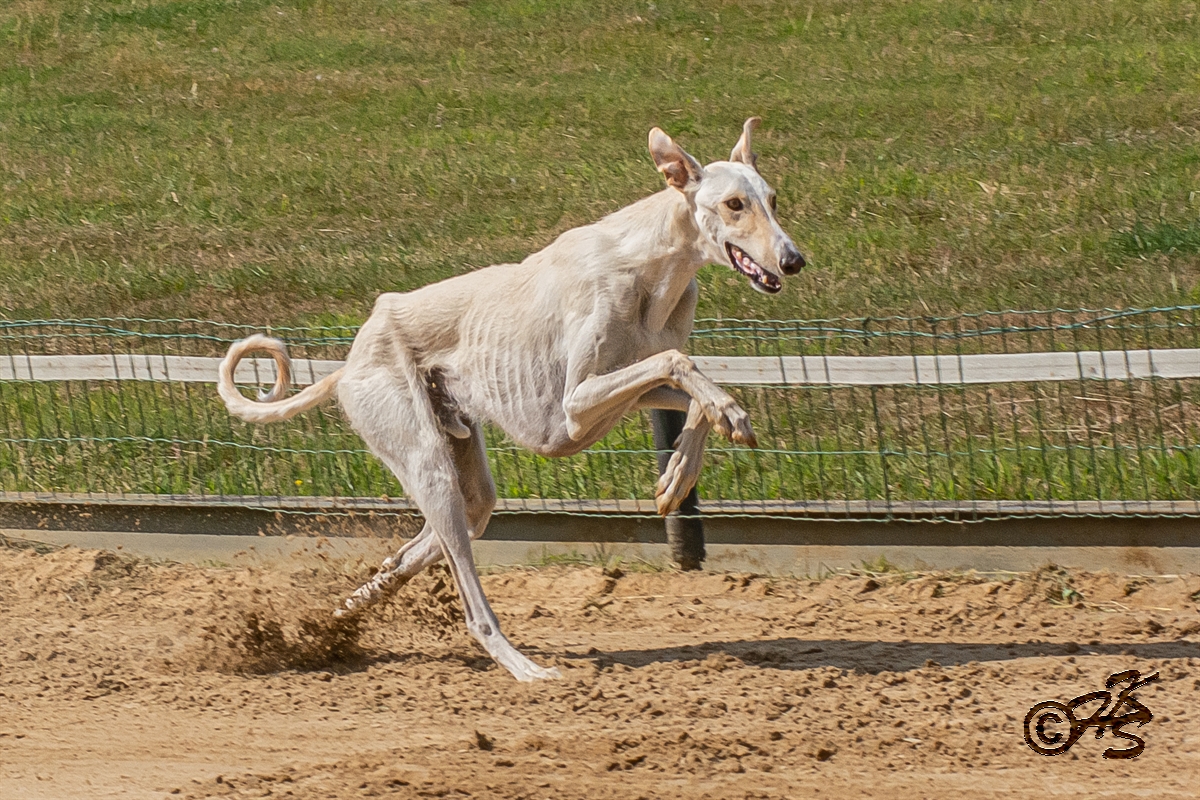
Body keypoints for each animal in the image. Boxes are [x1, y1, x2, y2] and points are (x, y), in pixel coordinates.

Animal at [217, 118, 805, 681]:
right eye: (734, 204)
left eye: (773, 199)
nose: (793, 259)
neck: (651, 262)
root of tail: (349, 364)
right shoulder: (574, 408)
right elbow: (680, 363)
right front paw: (722, 422)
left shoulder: (610, 401)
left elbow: (691, 390)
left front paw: (680, 472)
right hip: (426, 462)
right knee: (469, 595)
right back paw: (522, 667)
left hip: (461, 469)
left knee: (422, 546)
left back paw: (341, 613)